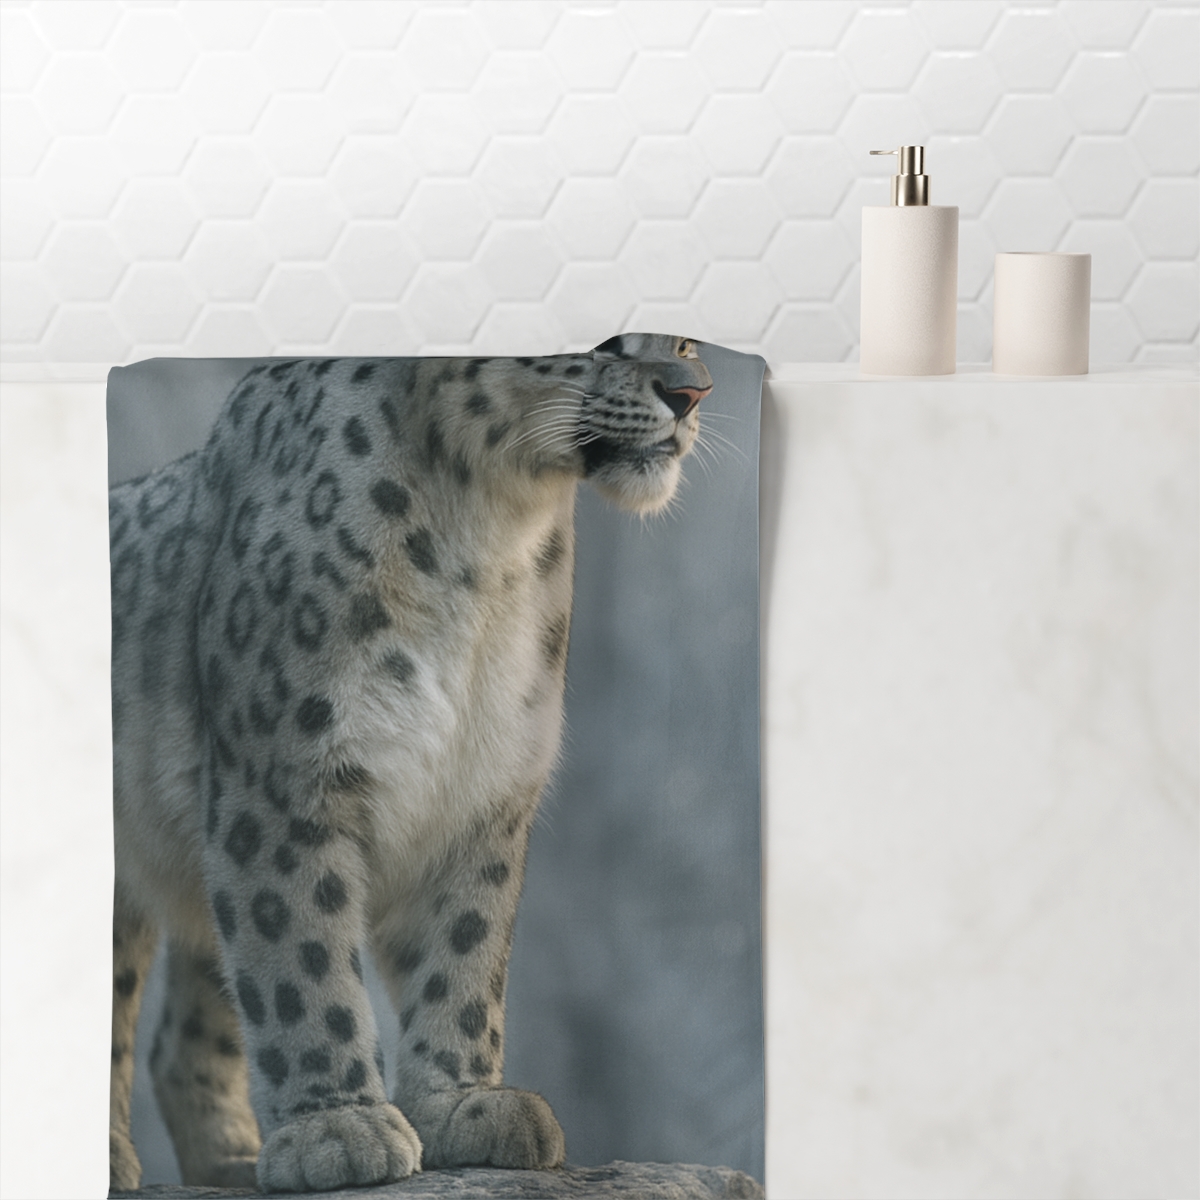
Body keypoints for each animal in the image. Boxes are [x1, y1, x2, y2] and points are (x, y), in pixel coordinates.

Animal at [107, 332, 713, 1193]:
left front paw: (463, 1105)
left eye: (689, 340)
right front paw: (339, 1128)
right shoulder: (285, 779)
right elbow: (298, 954)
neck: (487, 538)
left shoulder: (484, 786)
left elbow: (465, 948)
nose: (690, 392)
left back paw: (231, 1161)